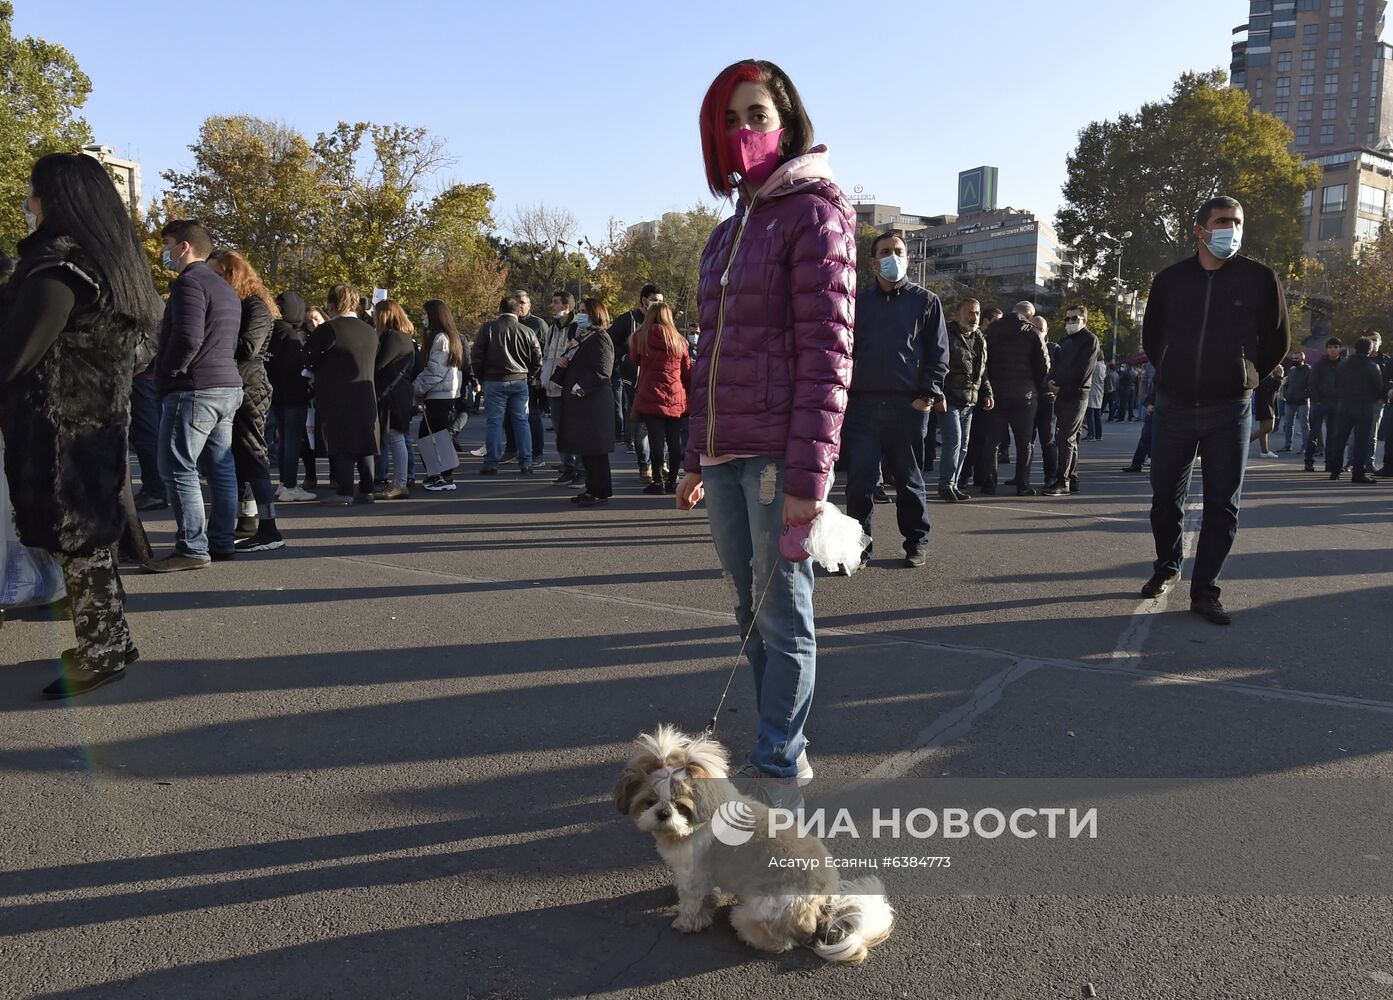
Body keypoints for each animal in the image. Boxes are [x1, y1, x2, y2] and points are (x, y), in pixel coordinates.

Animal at [612, 724, 891, 969]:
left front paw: (687, 922)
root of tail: (824, 903)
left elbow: (692, 902)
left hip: (757, 912)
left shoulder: (692, 875)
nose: (662, 813)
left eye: (680, 806)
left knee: (780, 941)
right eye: (649, 802)